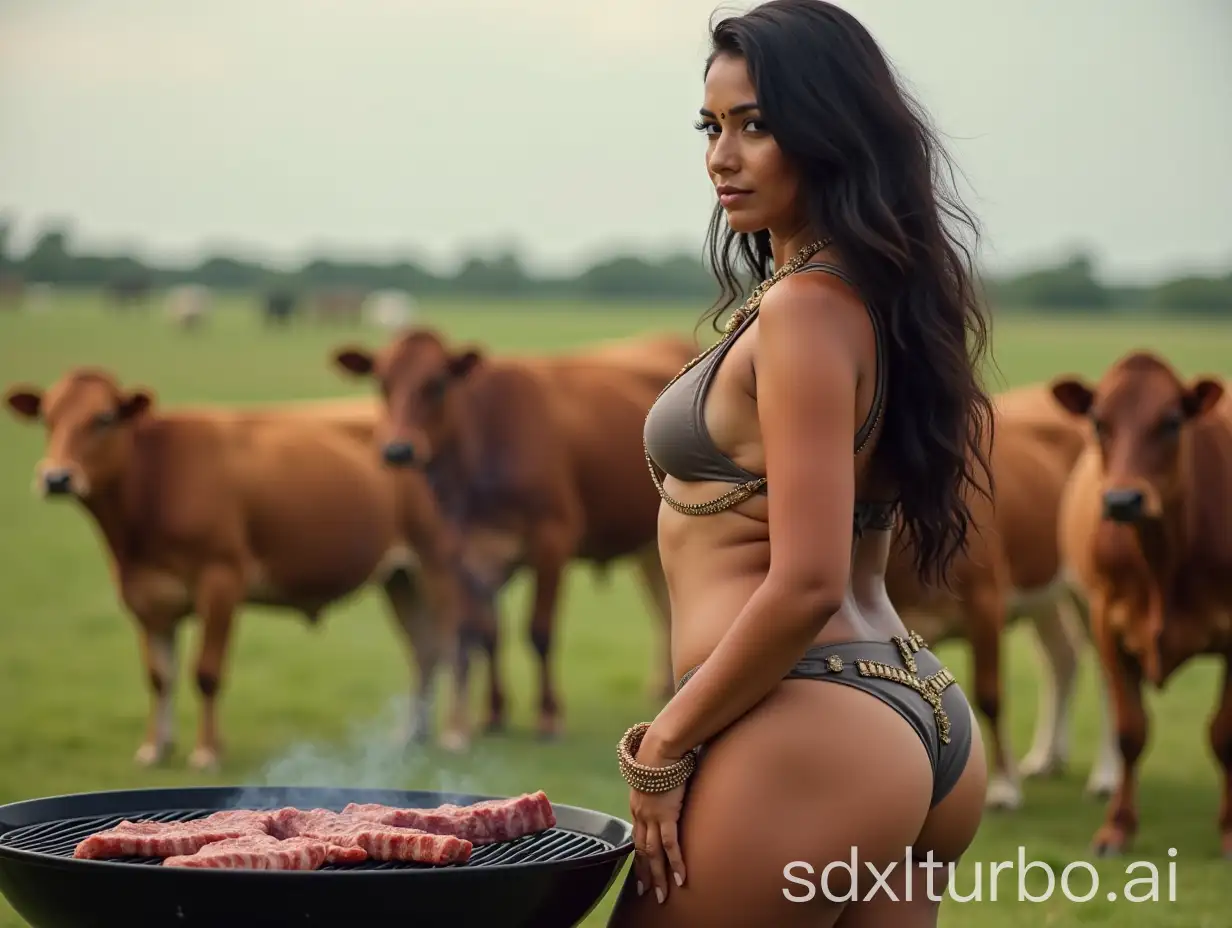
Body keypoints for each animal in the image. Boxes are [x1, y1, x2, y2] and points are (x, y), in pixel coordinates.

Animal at [2, 369, 463, 769]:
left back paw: (453, 735)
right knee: (424, 650)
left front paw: (207, 752)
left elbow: (206, 672)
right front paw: (155, 748)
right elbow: (159, 677)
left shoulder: (221, 582)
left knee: (453, 645)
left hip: (435, 564)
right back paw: (412, 735)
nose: (56, 477)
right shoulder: (146, 598)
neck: (154, 479)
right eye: (47, 418)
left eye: (103, 418)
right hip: (400, 579)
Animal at [332, 330, 699, 749]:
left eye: (437, 384)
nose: (397, 449)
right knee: (665, 605)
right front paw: (494, 712)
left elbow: (539, 631)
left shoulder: (553, 540)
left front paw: (548, 715)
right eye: (382, 382)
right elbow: (488, 633)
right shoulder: (471, 550)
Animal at [882, 379, 1113, 808]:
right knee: (1062, 656)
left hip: (1092, 585)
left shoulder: (986, 602)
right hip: (1043, 591)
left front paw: (1004, 788)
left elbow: (989, 695)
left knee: (1109, 669)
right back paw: (1045, 759)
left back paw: (1106, 777)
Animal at [1049, 352, 1232, 852]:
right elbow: (1130, 732)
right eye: (1098, 422)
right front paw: (1117, 827)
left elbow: (1222, 734)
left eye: (1171, 422)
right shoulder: (1107, 624)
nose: (1122, 500)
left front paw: (1229, 830)